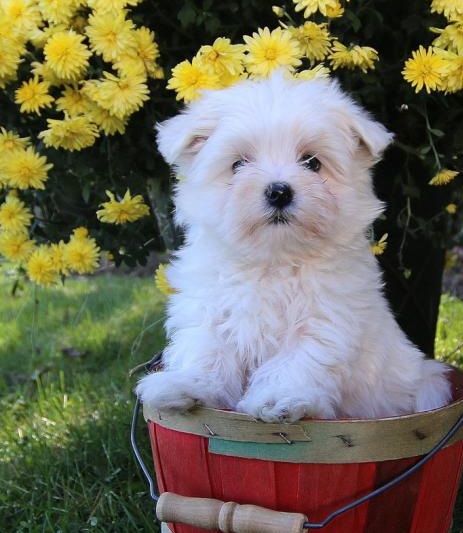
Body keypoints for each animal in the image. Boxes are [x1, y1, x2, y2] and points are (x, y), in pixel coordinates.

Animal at [137, 71, 450, 420]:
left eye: (312, 162)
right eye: (238, 164)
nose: (278, 191)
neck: (274, 260)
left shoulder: (325, 320)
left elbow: (296, 360)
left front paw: (279, 399)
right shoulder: (208, 308)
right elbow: (207, 348)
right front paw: (185, 385)